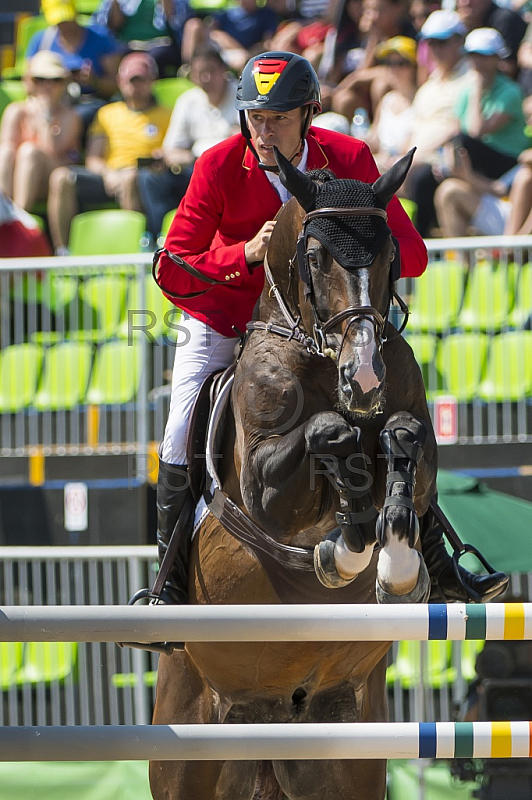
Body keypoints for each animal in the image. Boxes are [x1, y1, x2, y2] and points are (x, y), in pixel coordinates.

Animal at [149, 150, 436, 800]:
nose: (366, 378)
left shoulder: (419, 448)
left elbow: (402, 436)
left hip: (341, 752)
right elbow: (327, 434)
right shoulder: (265, 490)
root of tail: (273, 718)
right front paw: (347, 550)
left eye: (390, 253)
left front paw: (397, 564)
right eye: (315, 256)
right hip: (188, 748)